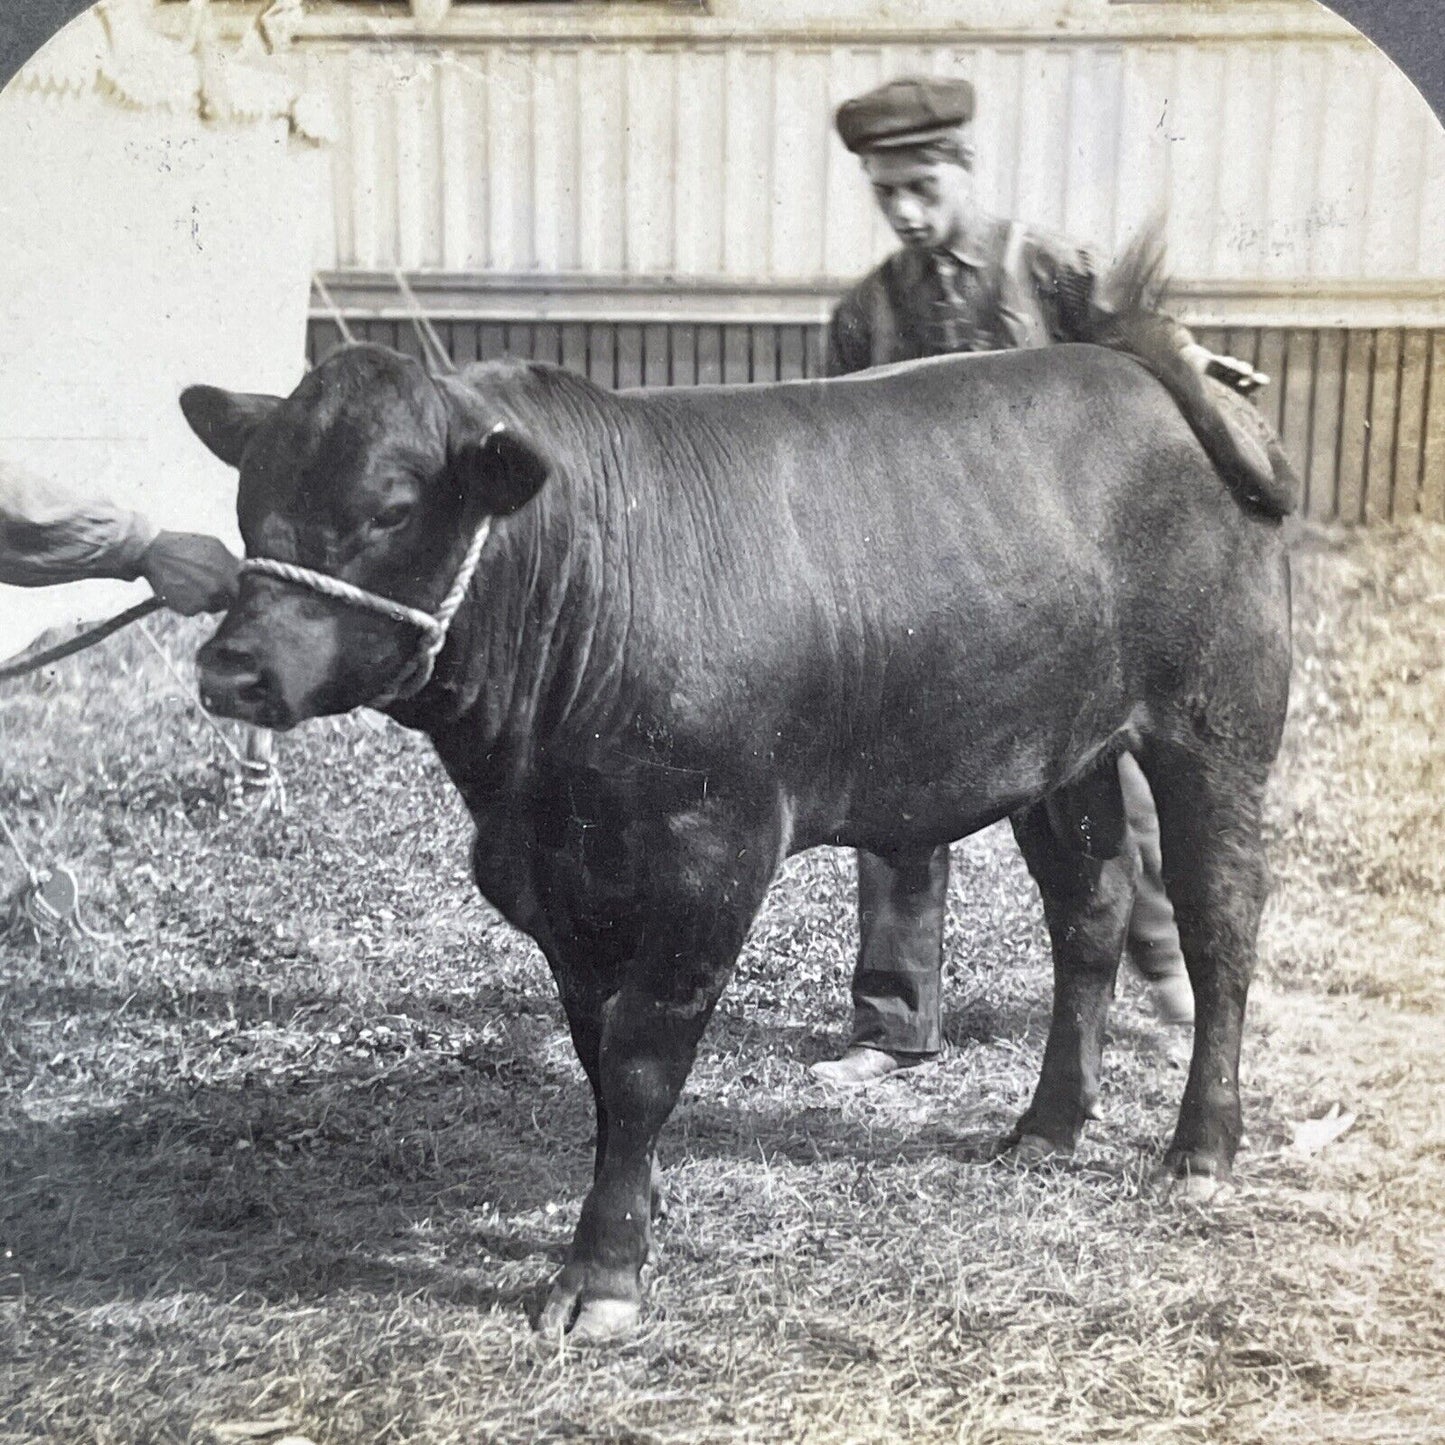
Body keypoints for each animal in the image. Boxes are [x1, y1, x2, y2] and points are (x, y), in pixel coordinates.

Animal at [186, 341, 1294, 1340]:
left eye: (391, 508)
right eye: (247, 499)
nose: (231, 669)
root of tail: (1137, 361)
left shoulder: (708, 860)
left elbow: (641, 1056)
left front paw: (602, 1272)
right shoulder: (560, 887)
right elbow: (596, 1051)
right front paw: (641, 1202)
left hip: (1214, 728)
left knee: (1219, 925)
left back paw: (1199, 1148)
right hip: (1062, 756)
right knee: (1088, 913)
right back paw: (1047, 1125)